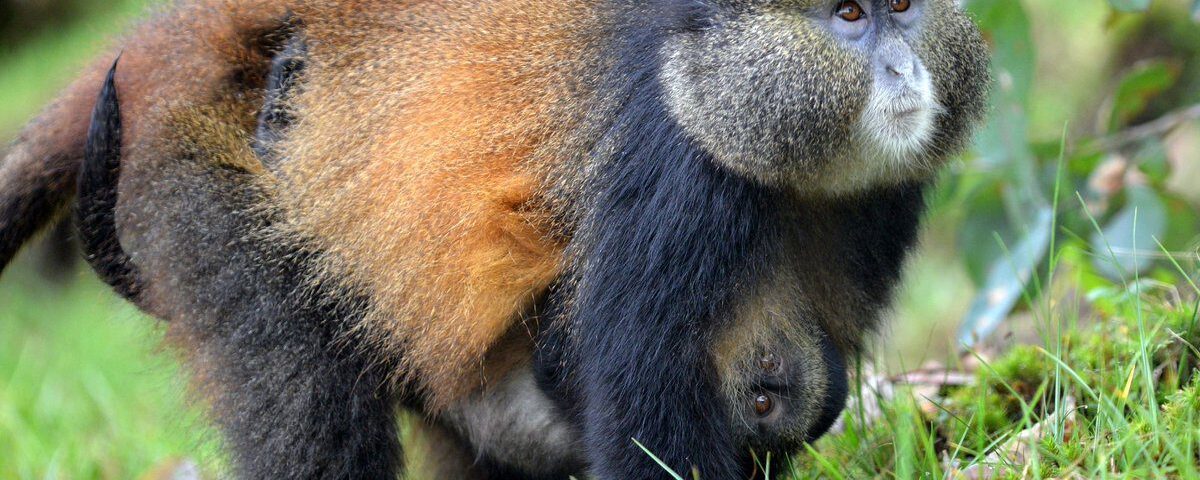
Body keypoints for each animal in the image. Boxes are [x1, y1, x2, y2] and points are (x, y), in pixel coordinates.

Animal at [0, 0, 990, 478]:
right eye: (848, 15)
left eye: (904, 5)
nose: (904, 71)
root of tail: (179, 39)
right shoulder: (673, 182)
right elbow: (636, 418)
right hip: (196, 181)